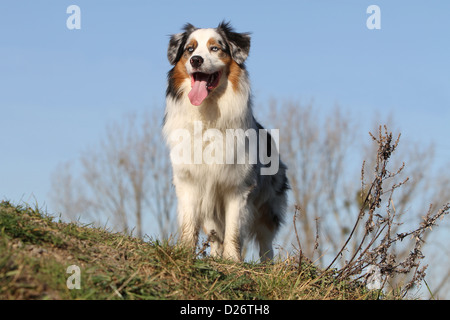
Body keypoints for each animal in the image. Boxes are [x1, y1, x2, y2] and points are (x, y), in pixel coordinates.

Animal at [162, 21, 288, 262]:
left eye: (215, 48)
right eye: (190, 49)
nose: (196, 60)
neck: (208, 113)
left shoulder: (238, 186)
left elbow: (234, 230)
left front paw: (232, 261)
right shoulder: (190, 181)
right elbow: (189, 225)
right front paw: (185, 253)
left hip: (269, 206)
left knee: (265, 241)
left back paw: (266, 265)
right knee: (214, 235)